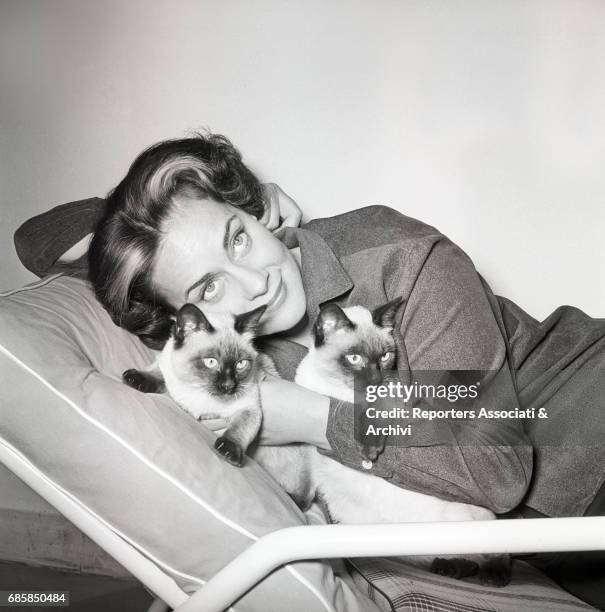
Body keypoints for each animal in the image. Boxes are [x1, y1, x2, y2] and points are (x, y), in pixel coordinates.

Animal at [122, 302, 510, 588]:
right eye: (354, 358)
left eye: (386, 357)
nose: (374, 379)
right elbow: (157, 372)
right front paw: (138, 379)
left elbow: (365, 413)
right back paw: (451, 567)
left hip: (472, 520)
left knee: (496, 553)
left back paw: (488, 575)